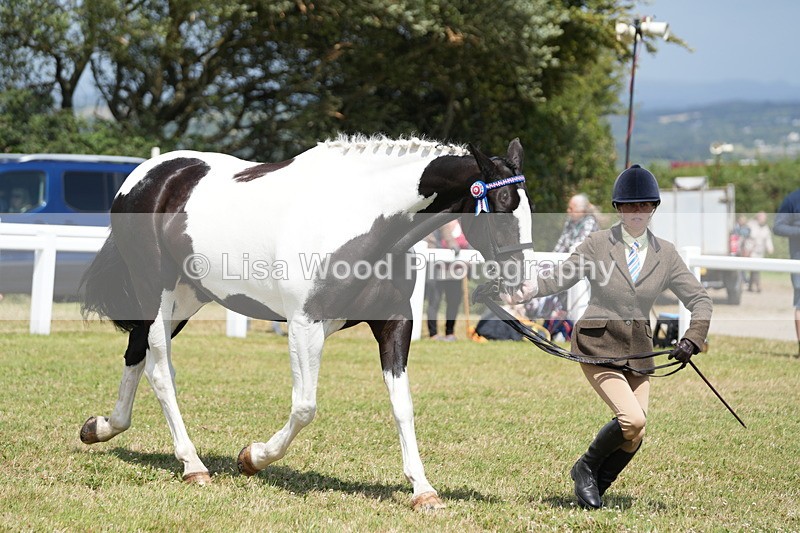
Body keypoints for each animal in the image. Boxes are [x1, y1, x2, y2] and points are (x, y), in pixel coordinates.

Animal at [79, 134, 536, 511]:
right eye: (501, 208)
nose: (523, 285)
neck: (364, 217)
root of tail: (146, 175)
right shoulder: (304, 325)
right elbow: (305, 407)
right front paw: (252, 458)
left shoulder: (393, 322)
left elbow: (402, 405)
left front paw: (423, 491)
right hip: (155, 291)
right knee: (160, 371)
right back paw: (193, 465)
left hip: (187, 299)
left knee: (136, 353)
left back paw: (101, 427)